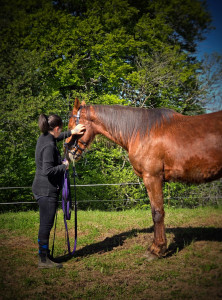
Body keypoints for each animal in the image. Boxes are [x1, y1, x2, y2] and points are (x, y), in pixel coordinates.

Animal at [65, 98, 222, 260]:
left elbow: (157, 213)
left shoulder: (152, 178)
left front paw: (156, 249)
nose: (68, 152)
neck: (140, 131)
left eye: (72, 126)